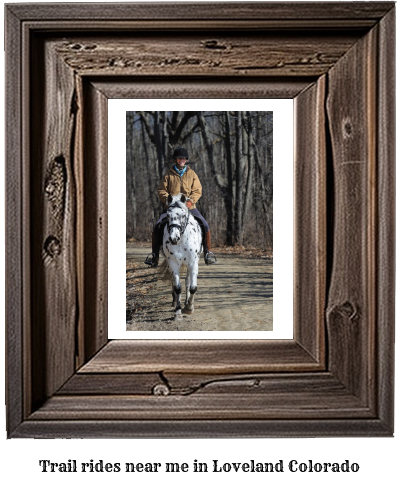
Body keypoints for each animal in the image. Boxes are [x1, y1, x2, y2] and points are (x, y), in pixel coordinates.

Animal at [160, 193, 202, 322]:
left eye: (183, 215)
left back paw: (186, 303)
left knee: (187, 282)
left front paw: (189, 307)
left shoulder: (193, 263)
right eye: (168, 215)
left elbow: (192, 287)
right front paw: (178, 312)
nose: (174, 238)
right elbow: (178, 287)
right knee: (174, 282)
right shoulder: (173, 263)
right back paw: (175, 302)